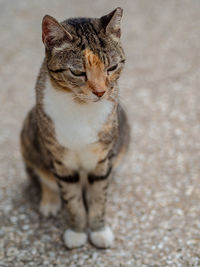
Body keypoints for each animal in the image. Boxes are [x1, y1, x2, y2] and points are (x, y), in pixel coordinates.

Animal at [20, 7, 130, 250]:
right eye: (78, 73)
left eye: (111, 68)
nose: (100, 92)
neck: (81, 108)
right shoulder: (61, 162)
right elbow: (72, 200)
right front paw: (77, 231)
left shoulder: (102, 159)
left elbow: (99, 197)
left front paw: (98, 230)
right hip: (28, 134)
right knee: (43, 177)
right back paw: (50, 201)